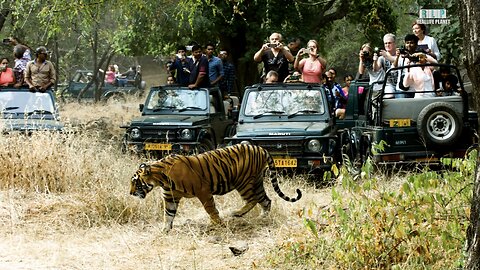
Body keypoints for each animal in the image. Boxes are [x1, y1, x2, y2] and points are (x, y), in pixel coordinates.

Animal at [129, 143, 302, 232]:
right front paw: (165, 231)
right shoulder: (171, 197)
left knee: (252, 199)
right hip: (257, 181)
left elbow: (210, 209)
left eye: (136, 182)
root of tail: (260, 147)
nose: (130, 193)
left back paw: (237, 213)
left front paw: (217, 223)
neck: (161, 179)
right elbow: (168, 215)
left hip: (243, 182)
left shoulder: (203, 191)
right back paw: (262, 218)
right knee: (266, 200)